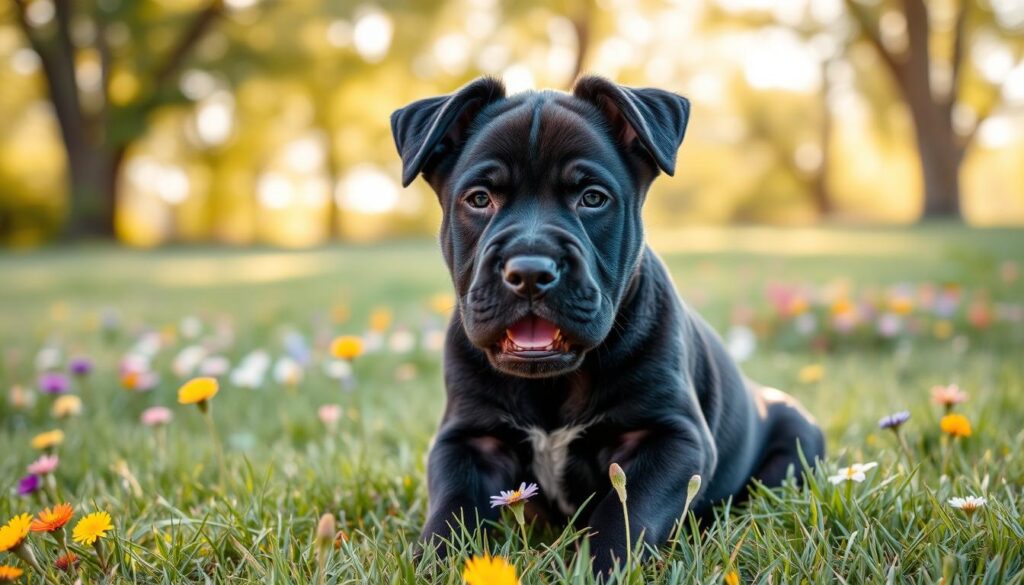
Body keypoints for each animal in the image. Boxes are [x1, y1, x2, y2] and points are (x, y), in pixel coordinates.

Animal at [387, 76, 827, 573]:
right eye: (480, 199)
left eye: (592, 198)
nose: (530, 271)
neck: (553, 385)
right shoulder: (468, 440)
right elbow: (453, 510)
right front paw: (431, 563)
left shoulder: (671, 437)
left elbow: (625, 513)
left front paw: (598, 566)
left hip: (797, 439)